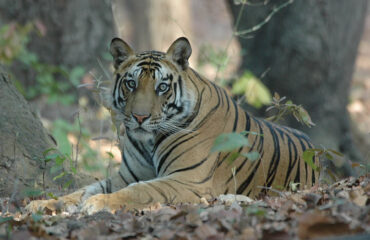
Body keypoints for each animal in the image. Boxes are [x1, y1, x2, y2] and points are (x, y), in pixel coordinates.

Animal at [25, 36, 318, 214]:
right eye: (131, 83)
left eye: (162, 87)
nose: (139, 117)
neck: (148, 141)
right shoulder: (125, 176)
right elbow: (82, 189)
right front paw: (42, 205)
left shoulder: (187, 180)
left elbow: (139, 190)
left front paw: (97, 203)